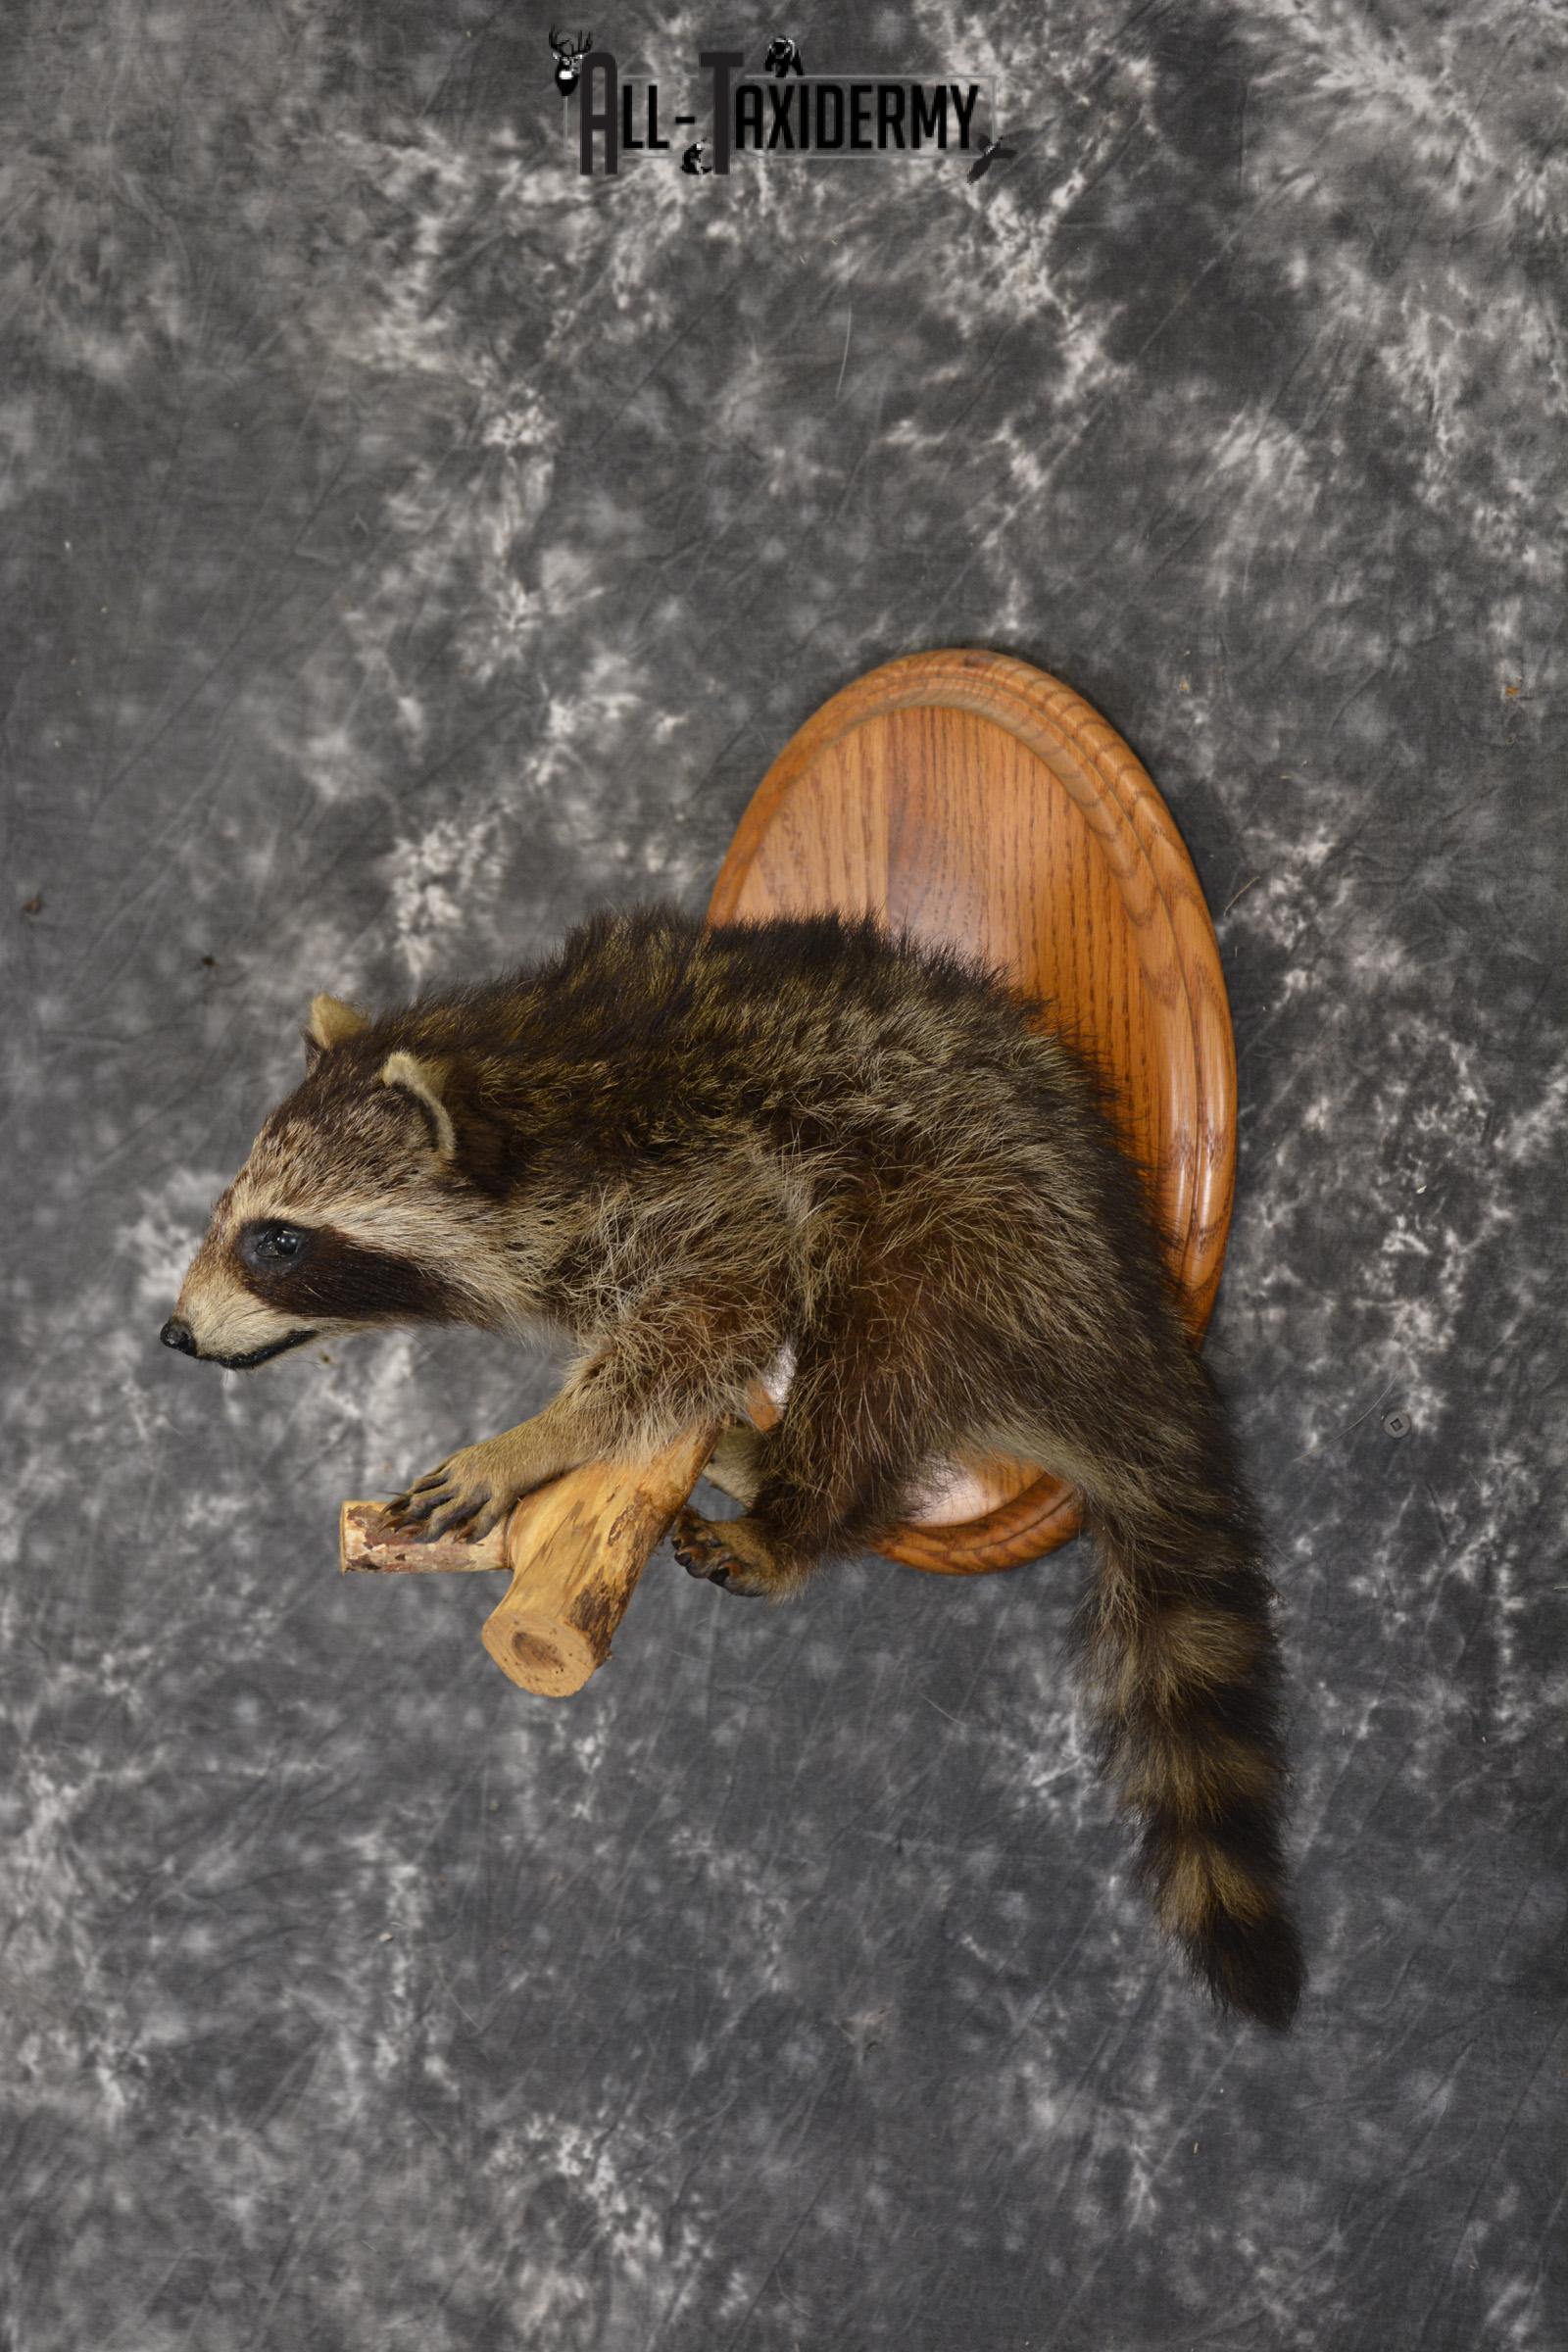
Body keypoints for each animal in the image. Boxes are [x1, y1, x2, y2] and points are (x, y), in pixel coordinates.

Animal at [163, 900, 1304, 2029]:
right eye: (231, 1215)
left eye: (278, 1242)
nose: (174, 1335)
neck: (517, 1064)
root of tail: (1132, 1331)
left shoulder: (704, 1170)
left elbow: (722, 1300)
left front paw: (538, 1438)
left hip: (979, 1224)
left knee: (878, 1349)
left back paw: (800, 1513)